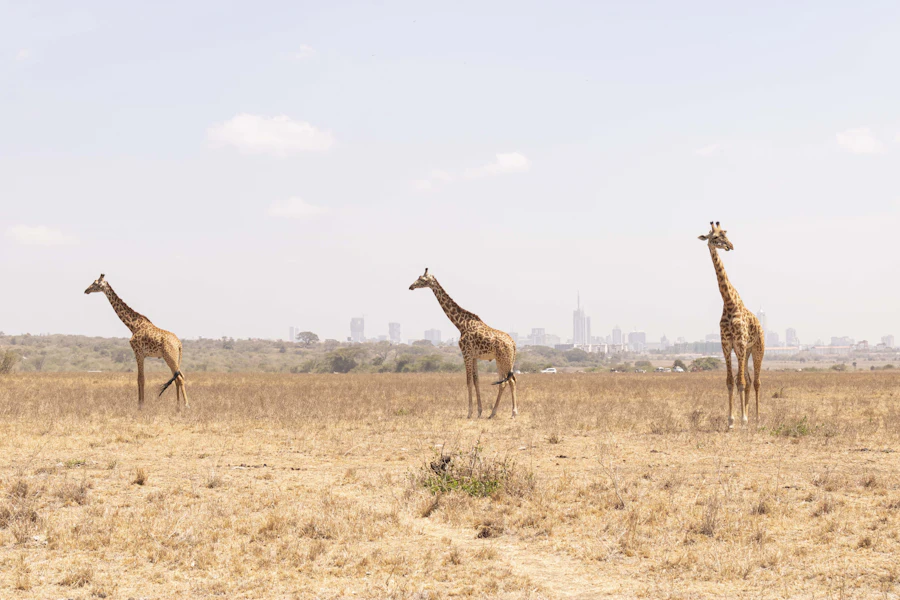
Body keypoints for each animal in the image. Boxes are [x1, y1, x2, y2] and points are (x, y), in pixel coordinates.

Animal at [84, 274, 188, 410]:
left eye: (95, 283)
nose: (86, 290)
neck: (133, 325)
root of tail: (179, 344)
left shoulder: (138, 352)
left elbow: (140, 379)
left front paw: (140, 406)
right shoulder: (141, 354)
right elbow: (140, 378)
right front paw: (140, 404)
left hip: (170, 357)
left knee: (179, 378)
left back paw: (186, 405)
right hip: (174, 358)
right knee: (178, 378)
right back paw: (177, 406)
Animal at [409, 268, 518, 418]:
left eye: (422, 279)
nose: (411, 286)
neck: (460, 324)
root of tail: (513, 343)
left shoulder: (466, 353)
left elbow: (468, 381)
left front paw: (469, 413)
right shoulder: (474, 356)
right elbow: (476, 381)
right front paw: (479, 411)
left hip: (503, 359)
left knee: (509, 381)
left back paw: (512, 413)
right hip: (502, 360)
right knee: (505, 382)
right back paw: (493, 413)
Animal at [698, 222, 765, 430]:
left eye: (725, 234)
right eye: (714, 237)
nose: (730, 246)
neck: (728, 303)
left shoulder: (741, 344)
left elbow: (740, 382)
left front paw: (742, 420)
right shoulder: (727, 346)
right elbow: (730, 381)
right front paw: (731, 421)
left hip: (757, 349)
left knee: (756, 381)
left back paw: (757, 420)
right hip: (746, 351)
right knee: (749, 380)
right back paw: (750, 417)